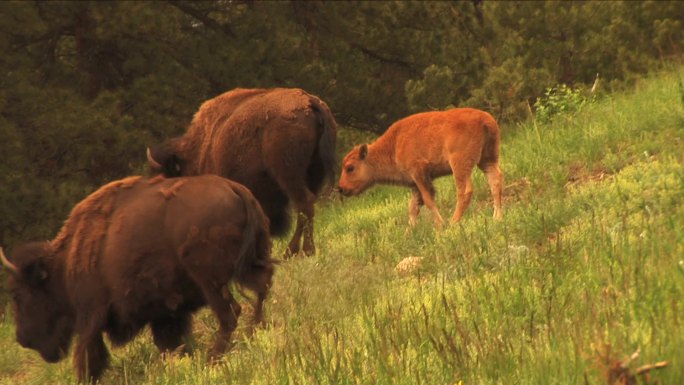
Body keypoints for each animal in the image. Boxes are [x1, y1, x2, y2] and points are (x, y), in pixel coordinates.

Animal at [0, 174, 272, 380]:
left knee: (230, 313)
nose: (22, 339)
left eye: (17, 294)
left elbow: (88, 355)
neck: (64, 264)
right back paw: (255, 333)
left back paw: (213, 358)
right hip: (252, 262)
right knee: (262, 290)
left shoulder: (91, 314)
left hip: (210, 281)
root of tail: (236, 189)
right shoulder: (166, 314)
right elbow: (171, 343)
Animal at [147, 86, 336, 258]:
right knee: (306, 207)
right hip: (312, 175)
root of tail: (310, 102)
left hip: (288, 174)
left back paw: (298, 251)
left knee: (304, 203)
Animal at [336, 106, 502, 226]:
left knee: (465, 191)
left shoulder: (419, 173)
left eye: (350, 168)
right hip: (488, 160)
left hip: (460, 165)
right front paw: (409, 232)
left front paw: (440, 225)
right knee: (495, 181)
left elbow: (427, 200)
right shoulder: (414, 183)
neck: (394, 145)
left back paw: (453, 222)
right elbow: (413, 207)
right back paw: (497, 217)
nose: (341, 188)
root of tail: (485, 120)